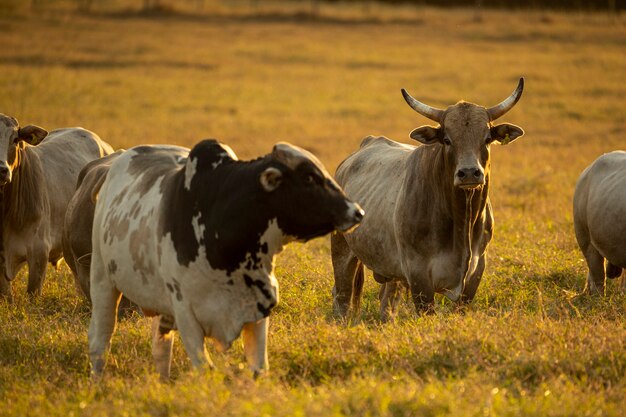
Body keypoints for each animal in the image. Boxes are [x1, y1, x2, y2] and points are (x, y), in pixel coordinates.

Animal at [86, 139, 360, 376]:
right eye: (308, 177)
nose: (357, 211)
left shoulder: (259, 309)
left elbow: (259, 368)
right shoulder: (186, 314)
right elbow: (205, 368)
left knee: (161, 349)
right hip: (102, 281)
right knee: (100, 342)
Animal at [332, 77, 520, 318]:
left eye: (487, 138)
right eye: (447, 139)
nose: (469, 173)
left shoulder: (476, 271)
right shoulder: (418, 275)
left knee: (388, 301)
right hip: (341, 251)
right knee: (343, 296)